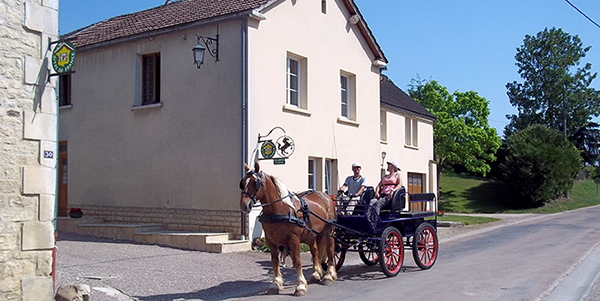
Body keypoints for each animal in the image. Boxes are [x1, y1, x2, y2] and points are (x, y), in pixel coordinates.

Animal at [240, 162, 338, 296]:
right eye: (242, 182)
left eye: (255, 183)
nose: (243, 206)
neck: (281, 209)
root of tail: (325, 196)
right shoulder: (270, 240)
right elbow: (275, 261)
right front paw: (276, 283)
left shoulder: (294, 239)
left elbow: (297, 261)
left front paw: (300, 286)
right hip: (311, 235)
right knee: (315, 252)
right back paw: (316, 274)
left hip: (329, 232)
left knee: (330, 251)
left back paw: (329, 276)